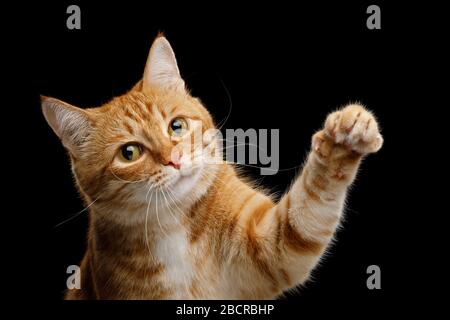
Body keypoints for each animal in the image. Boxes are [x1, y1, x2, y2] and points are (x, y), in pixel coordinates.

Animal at [41, 35, 384, 300]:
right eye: (129, 153)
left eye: (176, 126)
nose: (173, 159)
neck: (173, 225)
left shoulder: (269, 248)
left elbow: (307, 207)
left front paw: (341, 143)